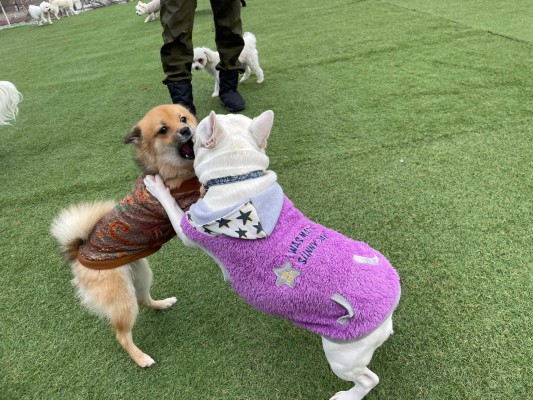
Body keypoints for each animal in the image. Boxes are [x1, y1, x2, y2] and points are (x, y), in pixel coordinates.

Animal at [50, 104, 201, 367]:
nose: (186, 130)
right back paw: (141, 359)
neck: (169, 171)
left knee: (144, 300)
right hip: (122, 299)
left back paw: (162, 304)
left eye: (183, 118)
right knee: (122, 335)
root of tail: (77, 253)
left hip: (140, 274)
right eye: (163, 130)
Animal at [144, 110, 401, 399]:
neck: (239, 175)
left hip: (343, 354)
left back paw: (348, 395)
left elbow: (173, 211)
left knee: (368, 379)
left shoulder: (190, 230)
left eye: (197, 127)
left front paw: (156, 186)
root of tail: (391, 305)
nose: (187, 125)